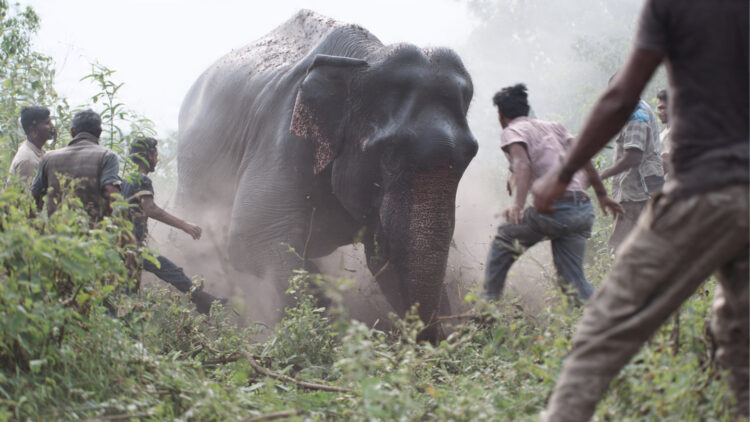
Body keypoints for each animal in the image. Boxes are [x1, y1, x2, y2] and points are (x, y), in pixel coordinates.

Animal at [176, 10, 477, 342]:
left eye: (471, 154)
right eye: (390, 153)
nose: (448, 335)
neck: (364, 60)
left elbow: (384, 257)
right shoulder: (281, 134)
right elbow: (252, 238)